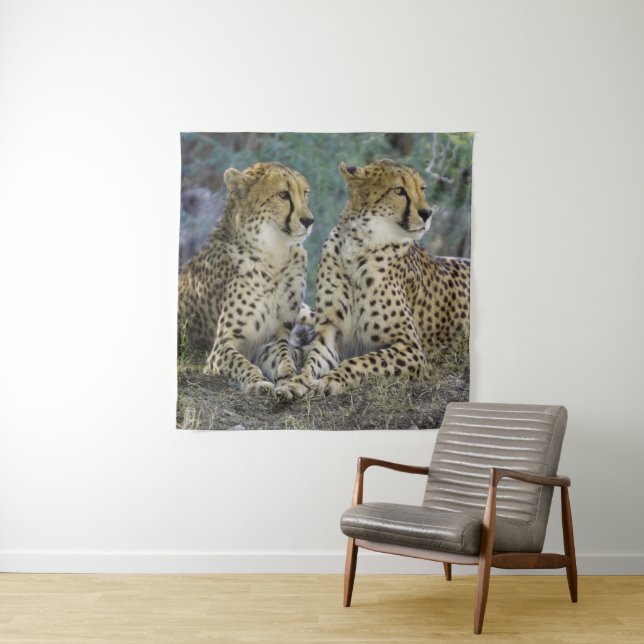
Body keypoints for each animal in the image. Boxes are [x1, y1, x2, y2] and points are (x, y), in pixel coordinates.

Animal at [178, 161, 315, 395]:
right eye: (283, 194)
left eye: (305, 193)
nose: (309, 220)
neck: (274, 256)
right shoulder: (222, 346)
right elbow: (241, 363)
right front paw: (257, 381)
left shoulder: (273, 339)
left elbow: (284, 358)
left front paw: (288, 378)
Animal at [276, 158, 469, 399]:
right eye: (399, 190)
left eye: (422, 189)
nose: (427, 212)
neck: (358, 246)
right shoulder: (330, 335)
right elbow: (311, 363)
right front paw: (295, 383)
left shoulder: (411, 348)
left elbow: (361, 361)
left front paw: (331, 380)